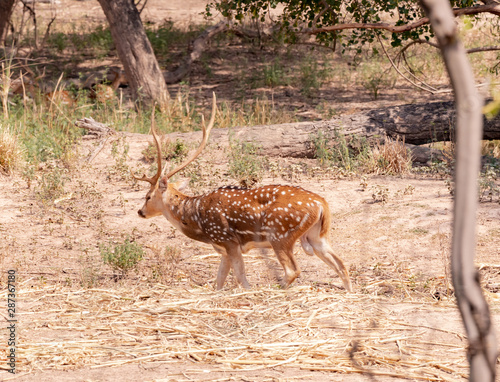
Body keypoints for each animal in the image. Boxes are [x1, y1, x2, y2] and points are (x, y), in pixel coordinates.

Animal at [133, 95, 352, 292]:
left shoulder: (228, 240)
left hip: (280, 234)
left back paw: (275, 290)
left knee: (293, 270)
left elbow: (241, 277)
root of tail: (322, 204)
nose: (140, 212)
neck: (196, 220)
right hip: (317, 236)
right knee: (341, 264)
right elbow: (219, 281)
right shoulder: (223, 248)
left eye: (148, 196)